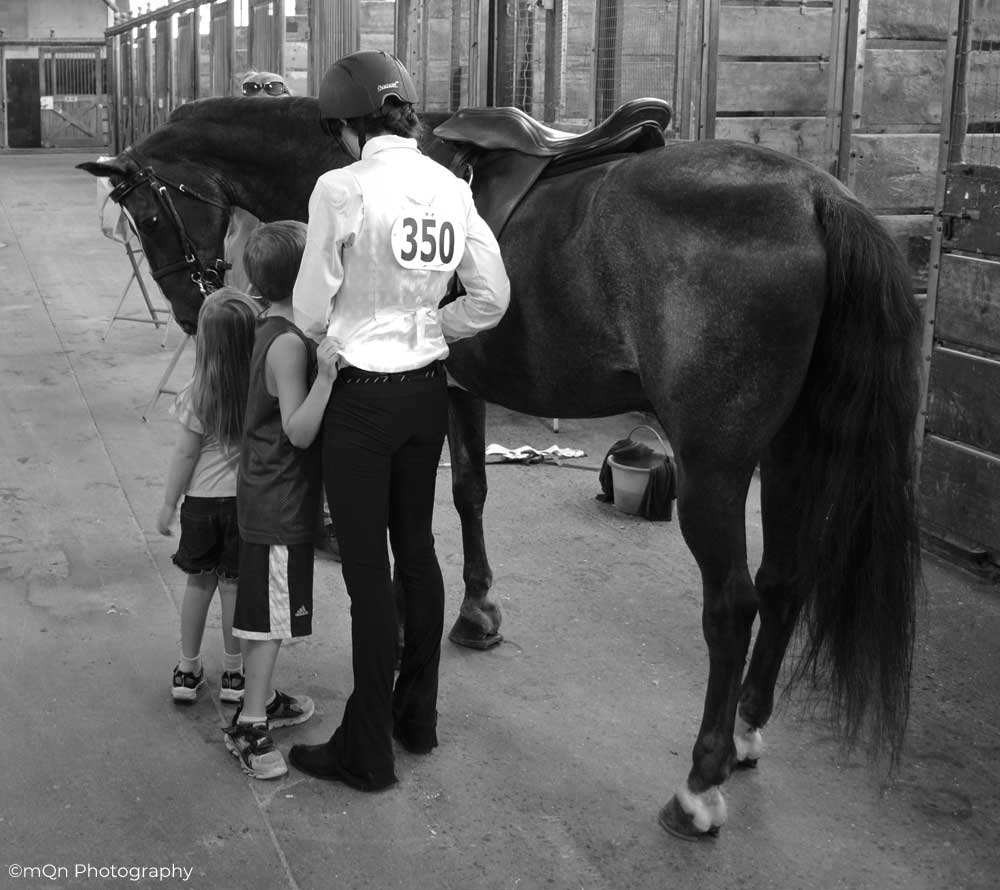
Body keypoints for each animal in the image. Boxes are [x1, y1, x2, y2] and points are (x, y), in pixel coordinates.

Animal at [78, 97, 920, 840]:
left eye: (146, 213)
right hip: (790, 446)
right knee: (785, 581)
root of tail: (814, 195)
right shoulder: (457, 387)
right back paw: (746, 730)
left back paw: (700, 785)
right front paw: (477, 614)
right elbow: (471, 492)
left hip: (715, 462)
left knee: (733, 606)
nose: (191, 311)